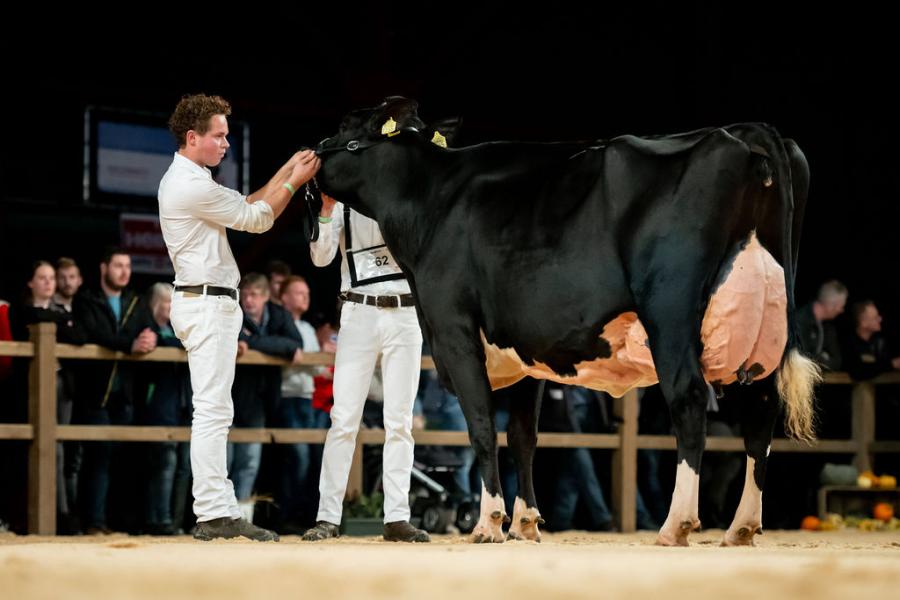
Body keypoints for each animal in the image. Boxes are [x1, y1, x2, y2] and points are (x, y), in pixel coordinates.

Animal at [310, 96, 824, 548]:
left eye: (346, 127)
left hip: (670, 310)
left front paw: (488, 523)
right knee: (761, 410)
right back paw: (741, 528)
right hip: (765, 331)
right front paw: (525, 524)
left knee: (690, 398)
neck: (430, 197)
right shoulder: (525, 349)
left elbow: (481, 425)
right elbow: (524, 436)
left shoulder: (455, 329)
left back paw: (675, 524)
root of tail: (741, 131)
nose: (312, 152)